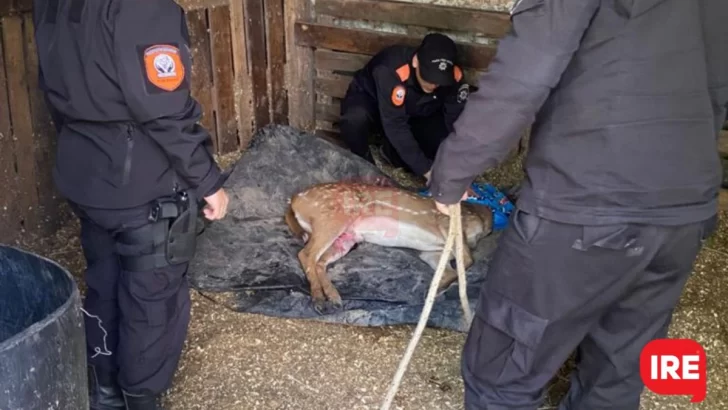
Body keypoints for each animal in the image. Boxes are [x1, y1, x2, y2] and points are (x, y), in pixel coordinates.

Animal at [284, 178, 494, 312]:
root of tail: (294, 199)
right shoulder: (447, 226)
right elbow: (468, 260)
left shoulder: (432, 253)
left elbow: (451, 270)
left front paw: (435, 291)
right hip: (331, 218)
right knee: (306, 254)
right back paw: (319, 299)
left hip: (347, 237)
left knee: (320, 261)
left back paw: (334, 298)